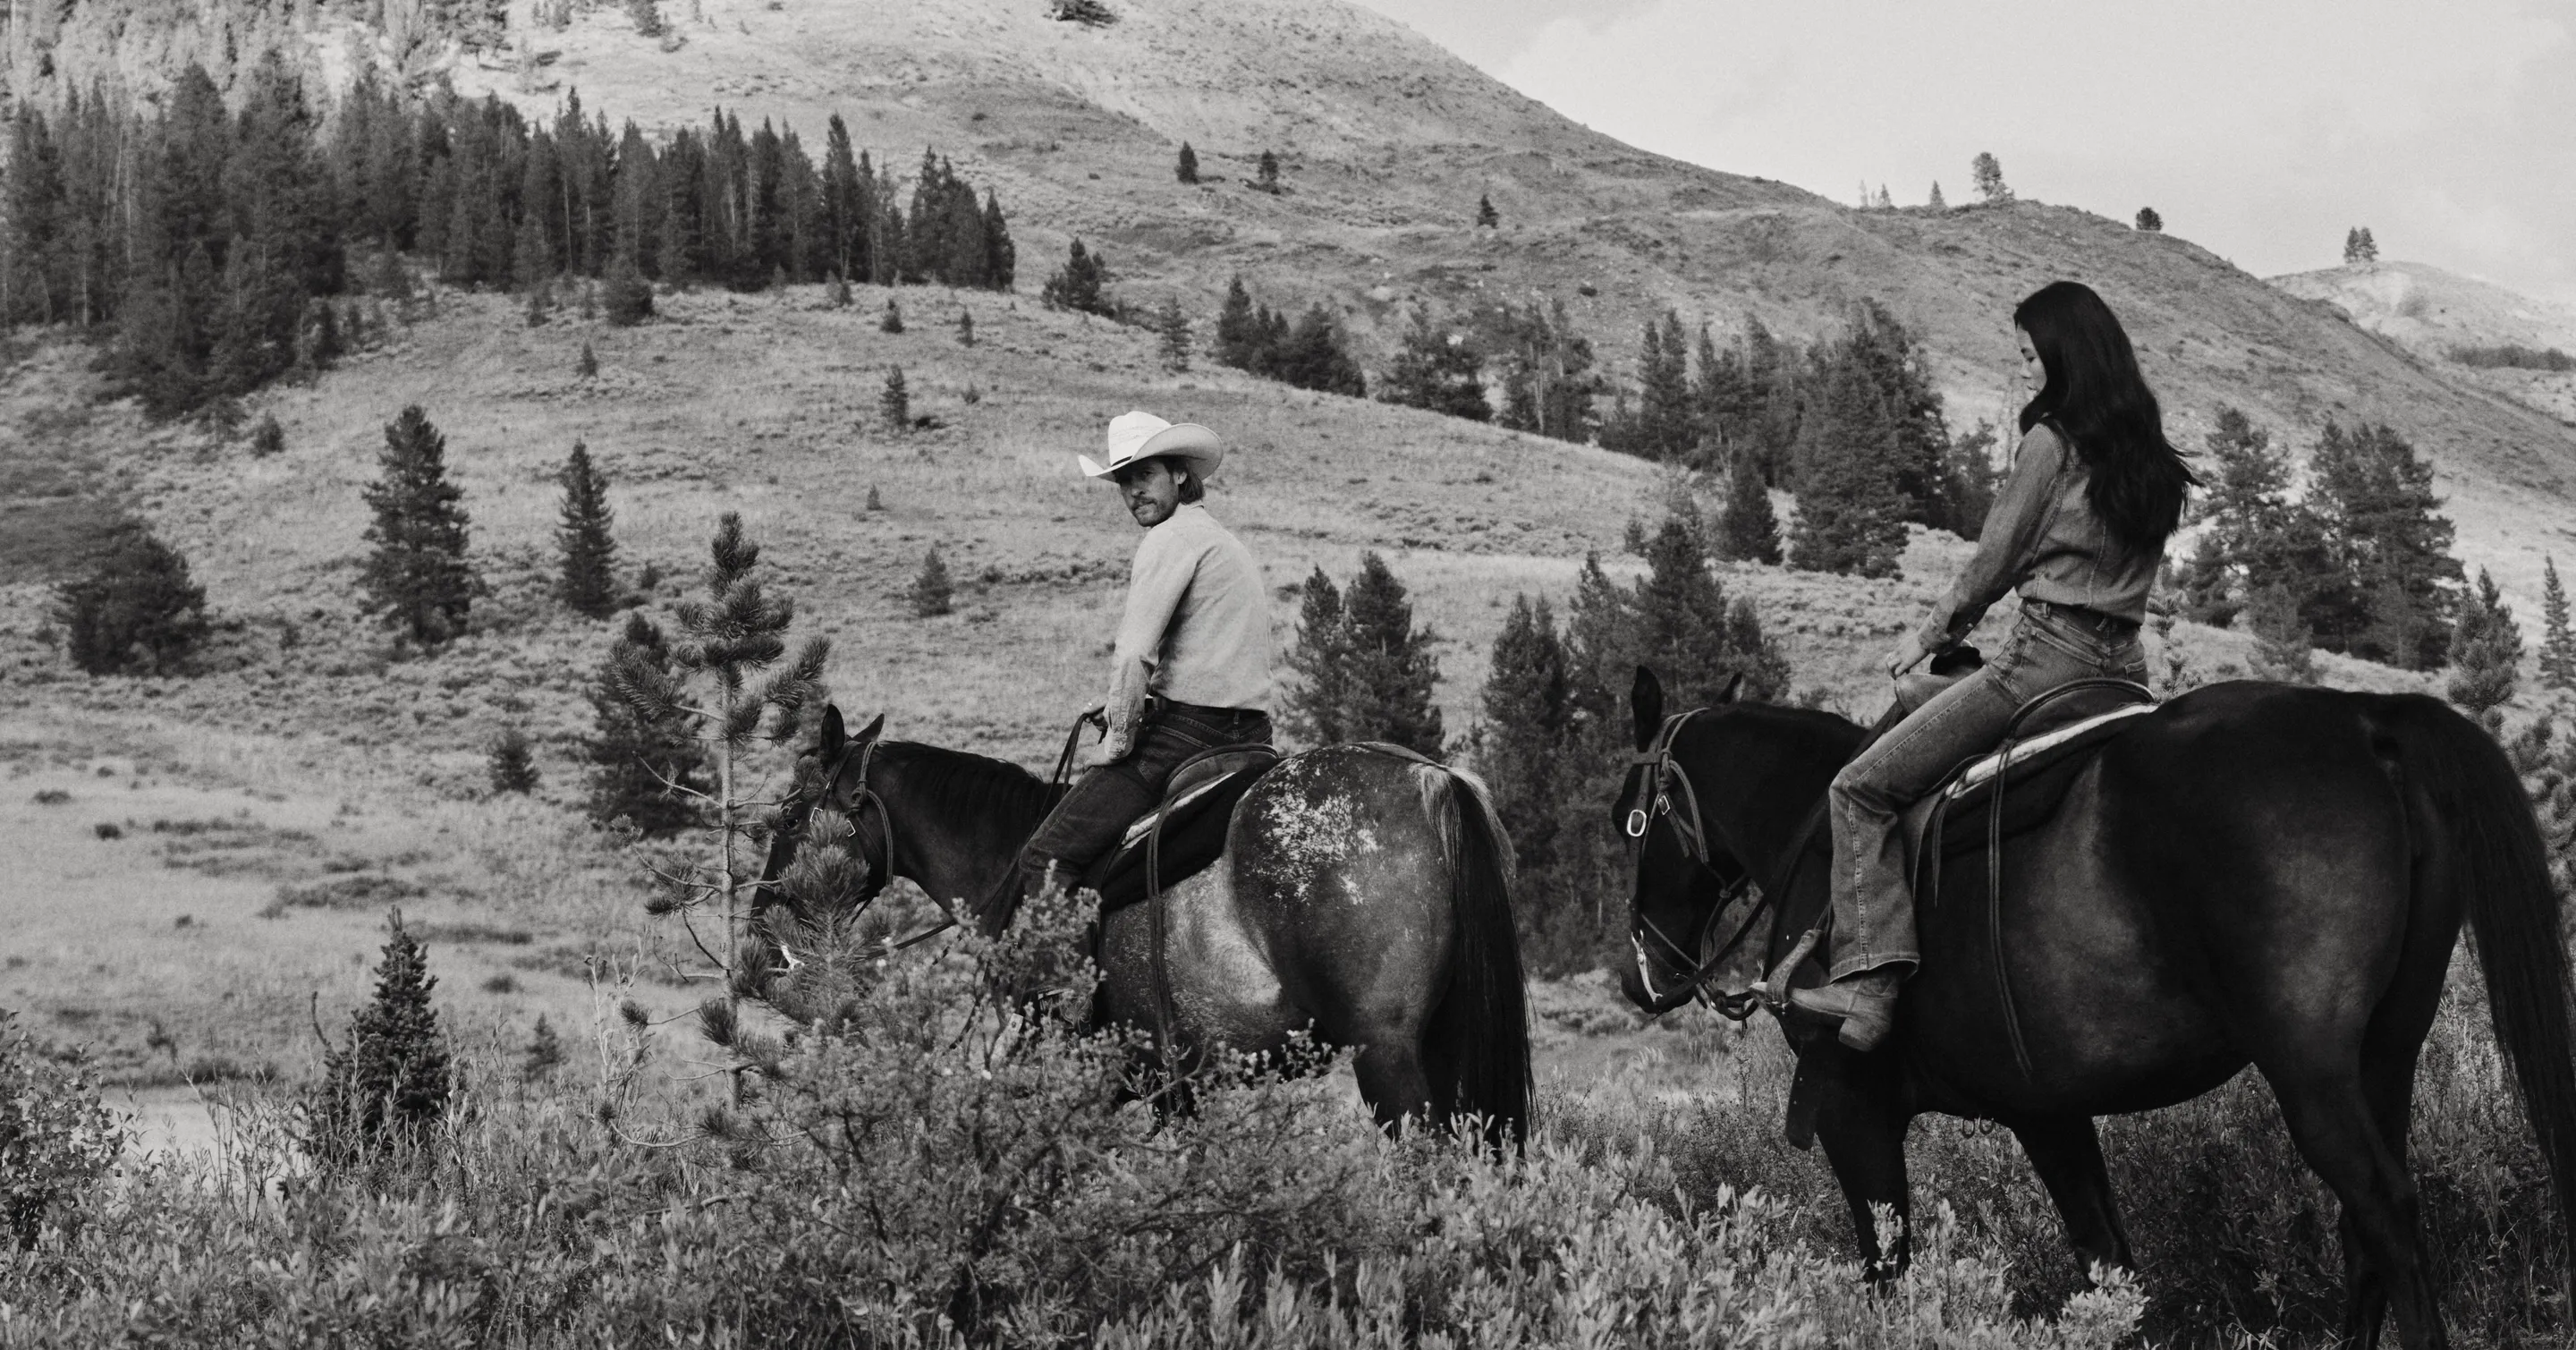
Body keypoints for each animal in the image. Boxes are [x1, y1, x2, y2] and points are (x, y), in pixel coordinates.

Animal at [1617, 675, 2565, 1350]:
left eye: (1630, 818)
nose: (1643, 974)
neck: (1817, 829)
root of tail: (2366, 718)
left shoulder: (1855, 1110)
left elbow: (1888, 1272)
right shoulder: (2049, 1114)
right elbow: (2109, 1263)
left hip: (2311, 1071)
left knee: (2385, 1209)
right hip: (2387, 1054)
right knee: (2364, 1227)